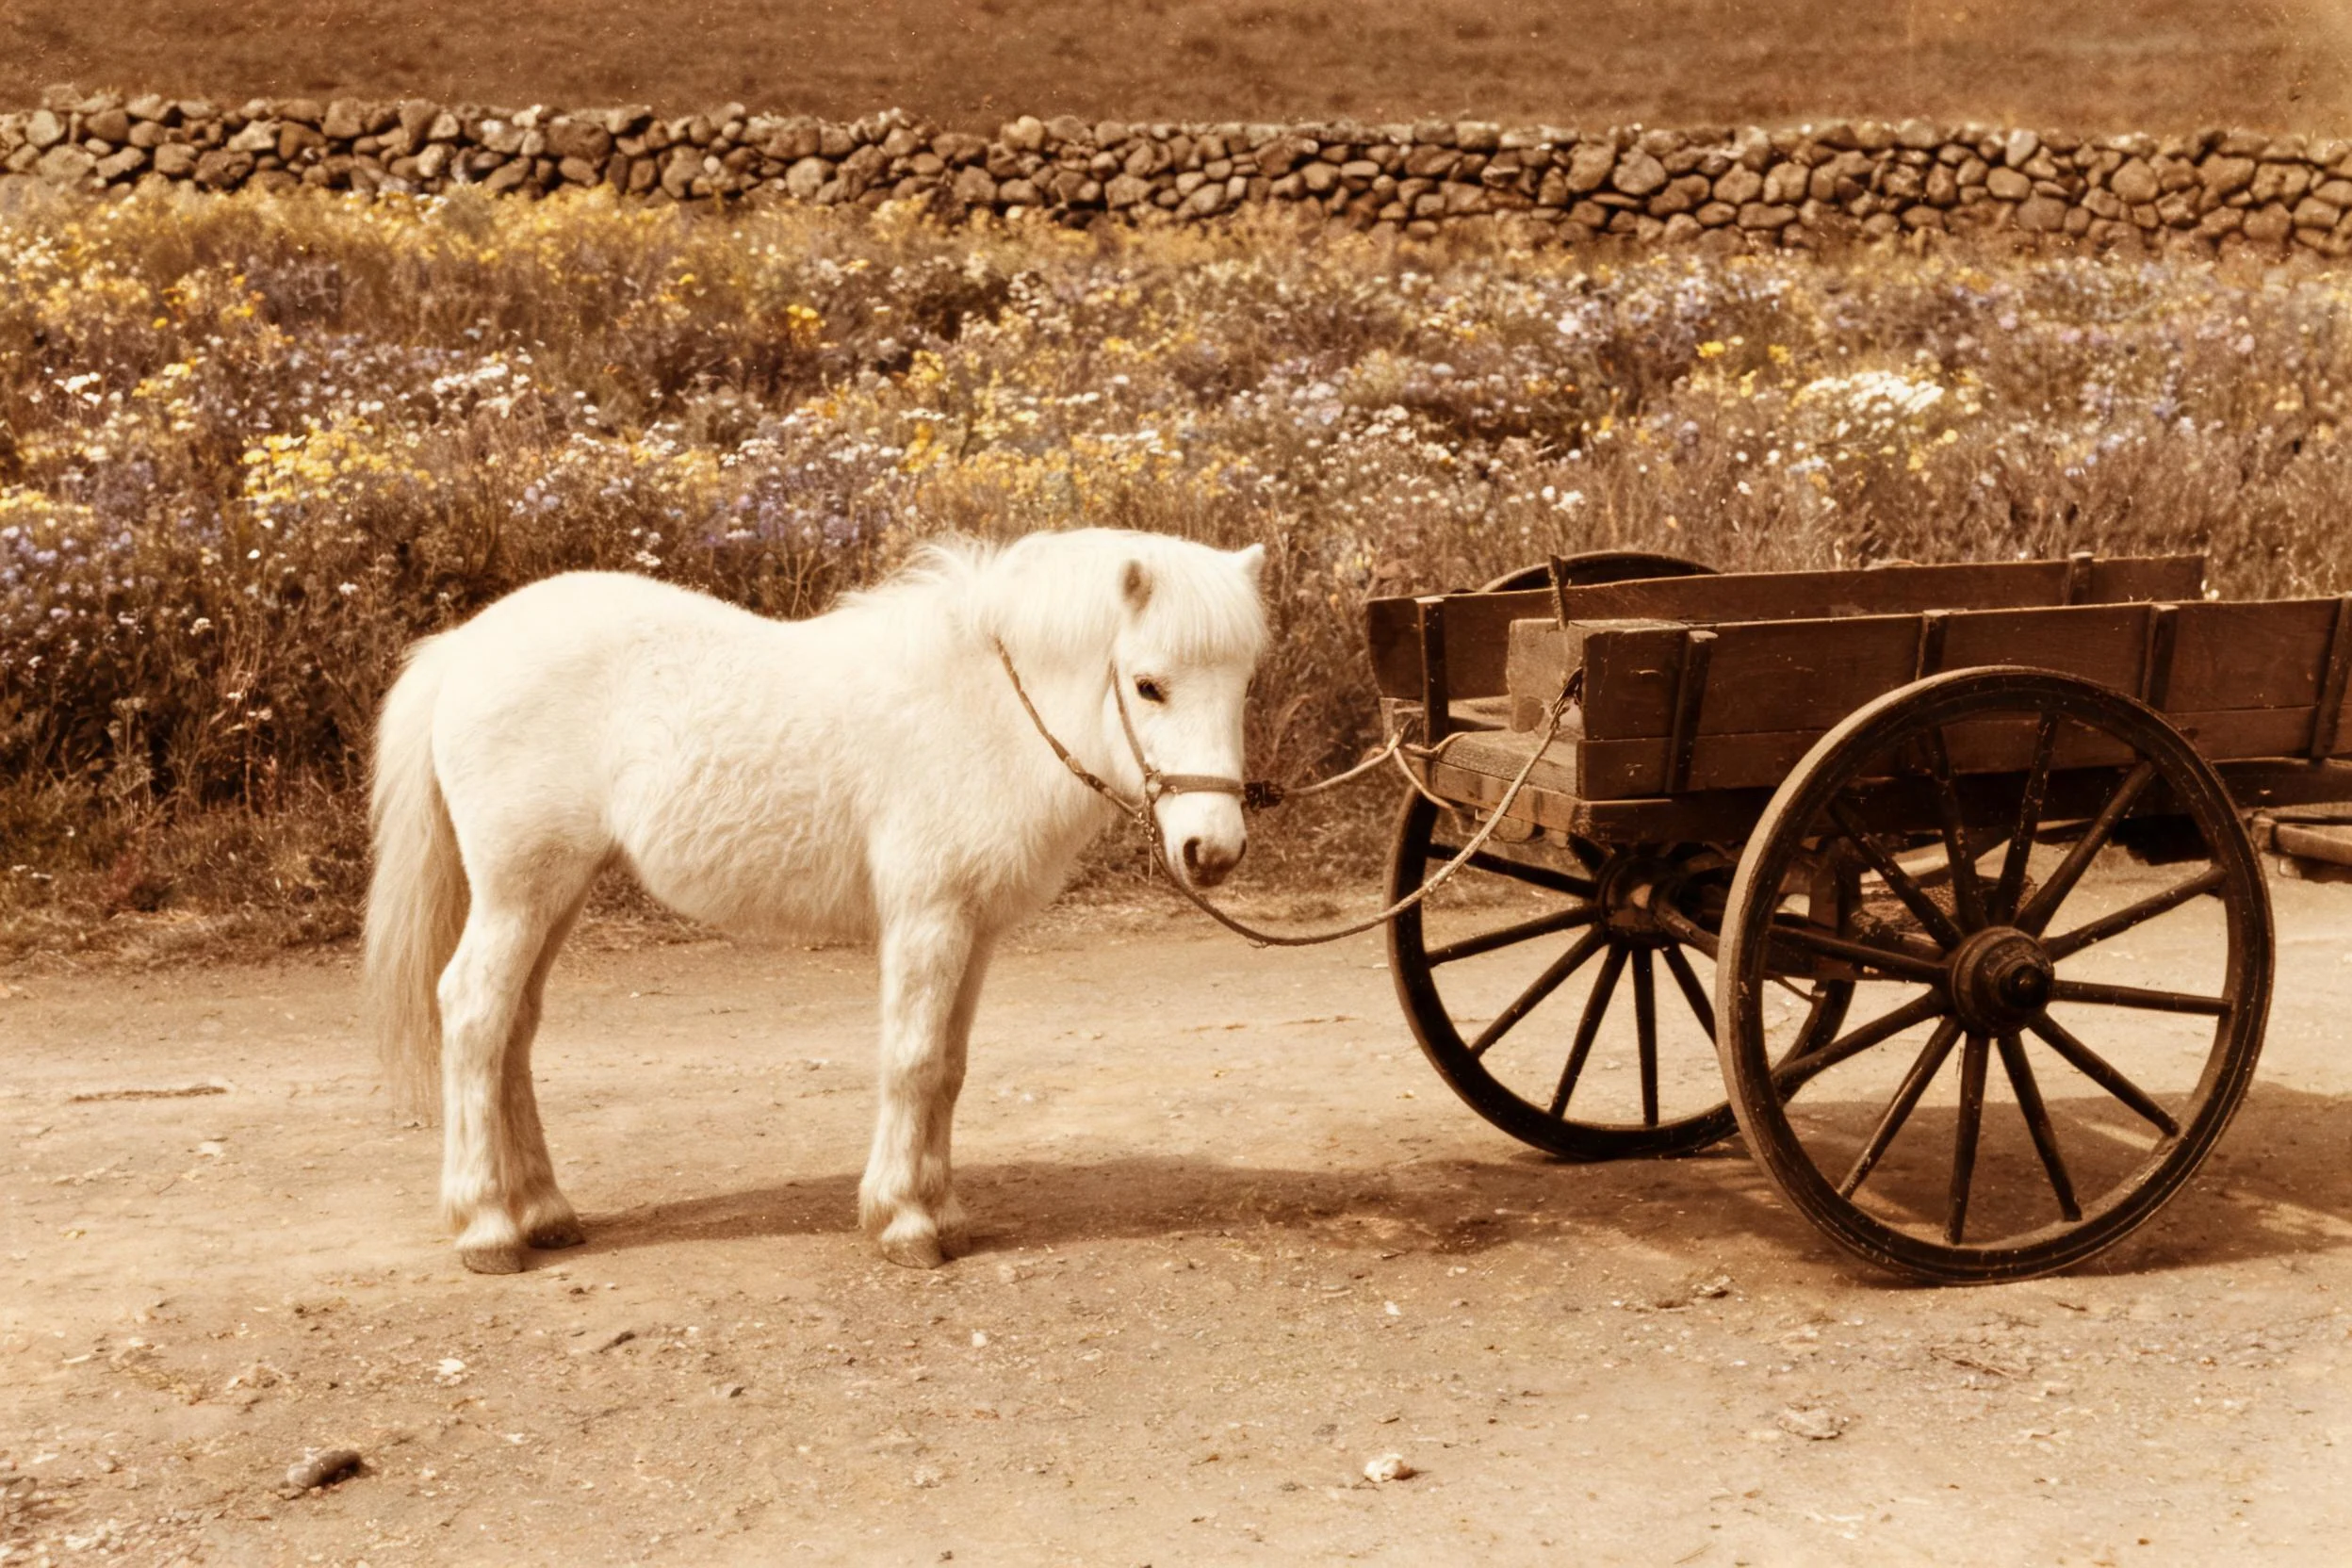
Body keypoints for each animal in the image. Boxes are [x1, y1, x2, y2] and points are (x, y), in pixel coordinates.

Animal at [363, 528, 1269, 1274]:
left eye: (1242, 685)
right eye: (1148, 685)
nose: (1213, 851)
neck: (978, 707)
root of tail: (466, 647)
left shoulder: (972, 932)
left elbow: (949, 1068)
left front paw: (942, 1209)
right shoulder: (927, 920)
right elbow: (912, 1061)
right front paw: (904, 1222)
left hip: (557, 892)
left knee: (512, 1031)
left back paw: (545, 1211)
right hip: (520, 889)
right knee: (473, 1014)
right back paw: (488, 1227)